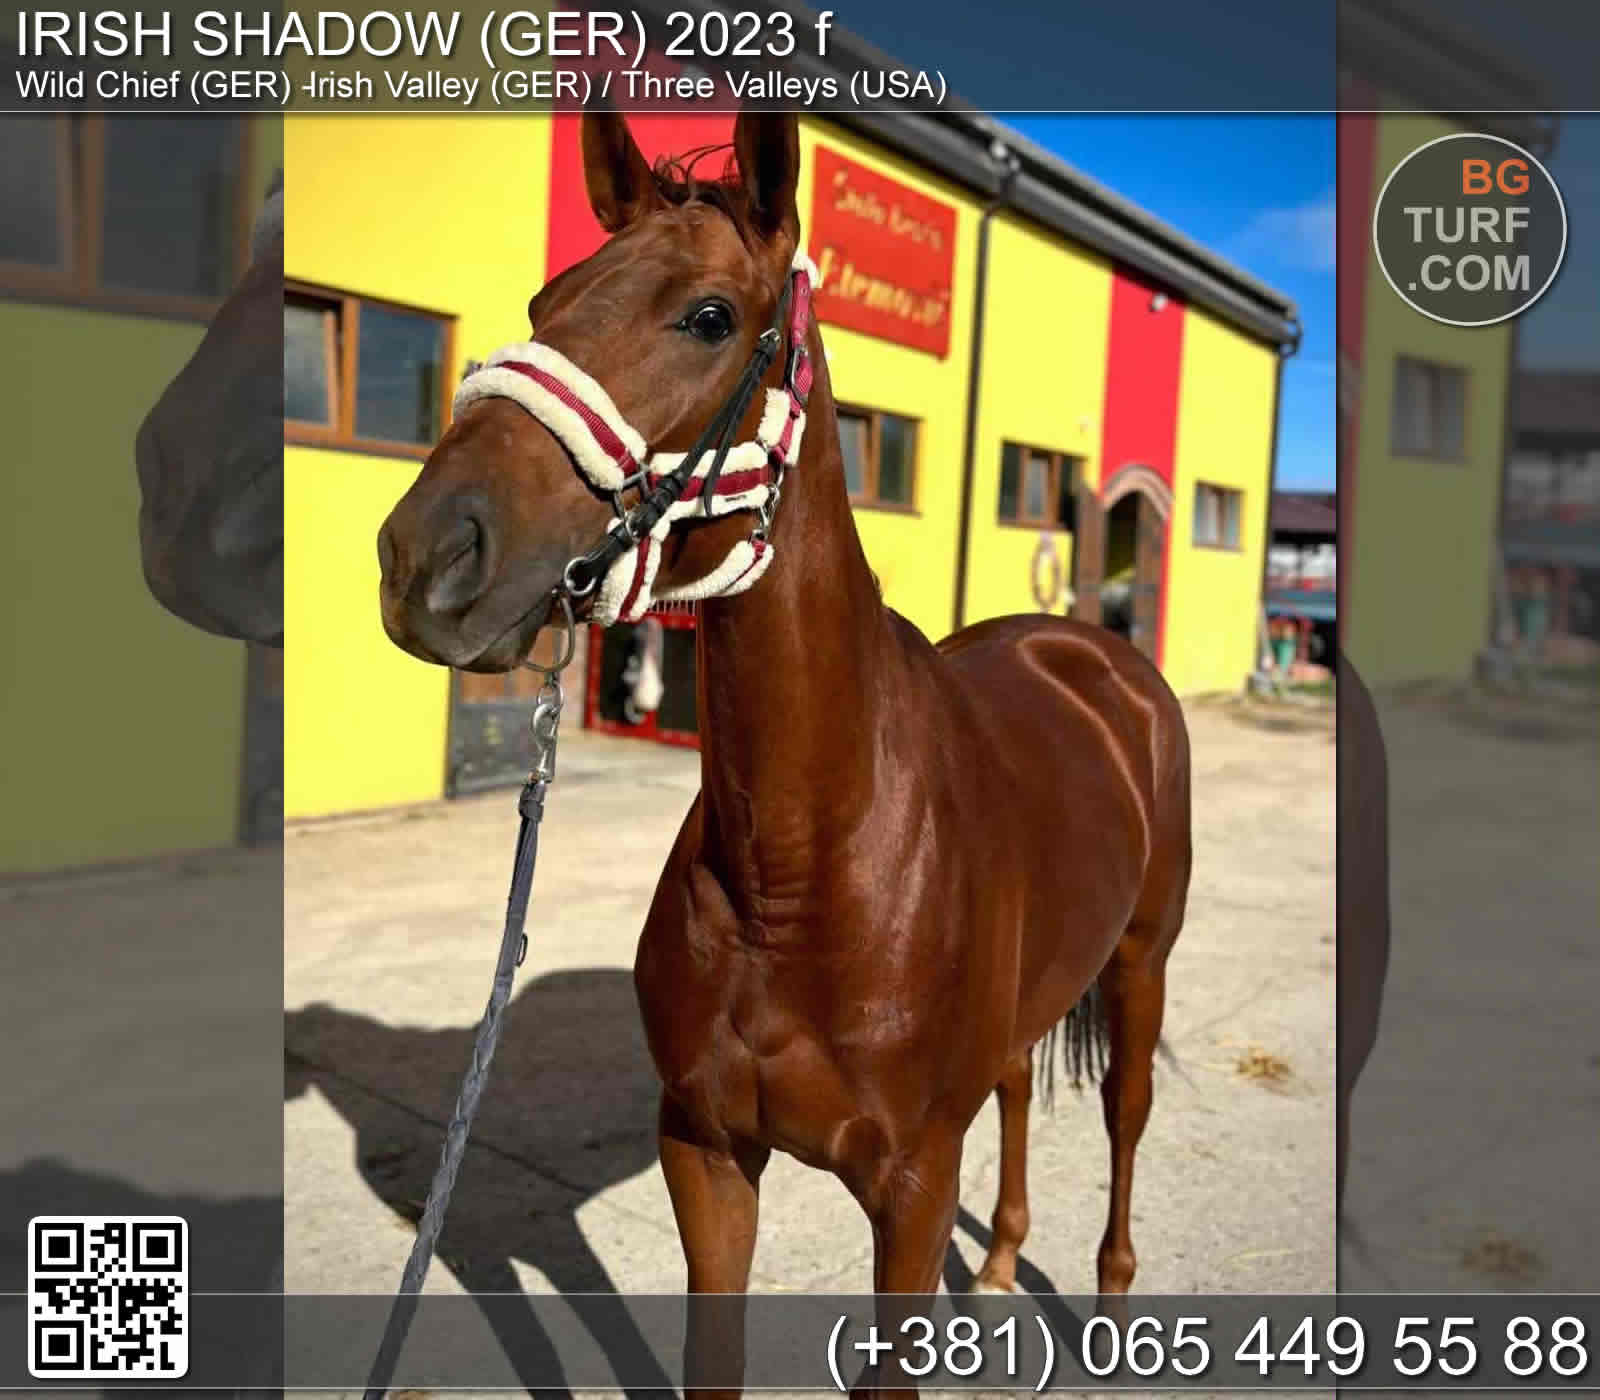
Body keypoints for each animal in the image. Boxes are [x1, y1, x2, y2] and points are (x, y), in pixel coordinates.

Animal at [377, 110, 1191, 1392]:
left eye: (709, 316)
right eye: (546, 297)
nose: (428, 555)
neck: (807, 863)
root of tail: (1095, 651)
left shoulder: (911, 1188)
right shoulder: (707, 1151)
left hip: (1141, 966)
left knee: (1123, 1116)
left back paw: (1105, 1314)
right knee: (1018, 1085)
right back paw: (1001, 1265)